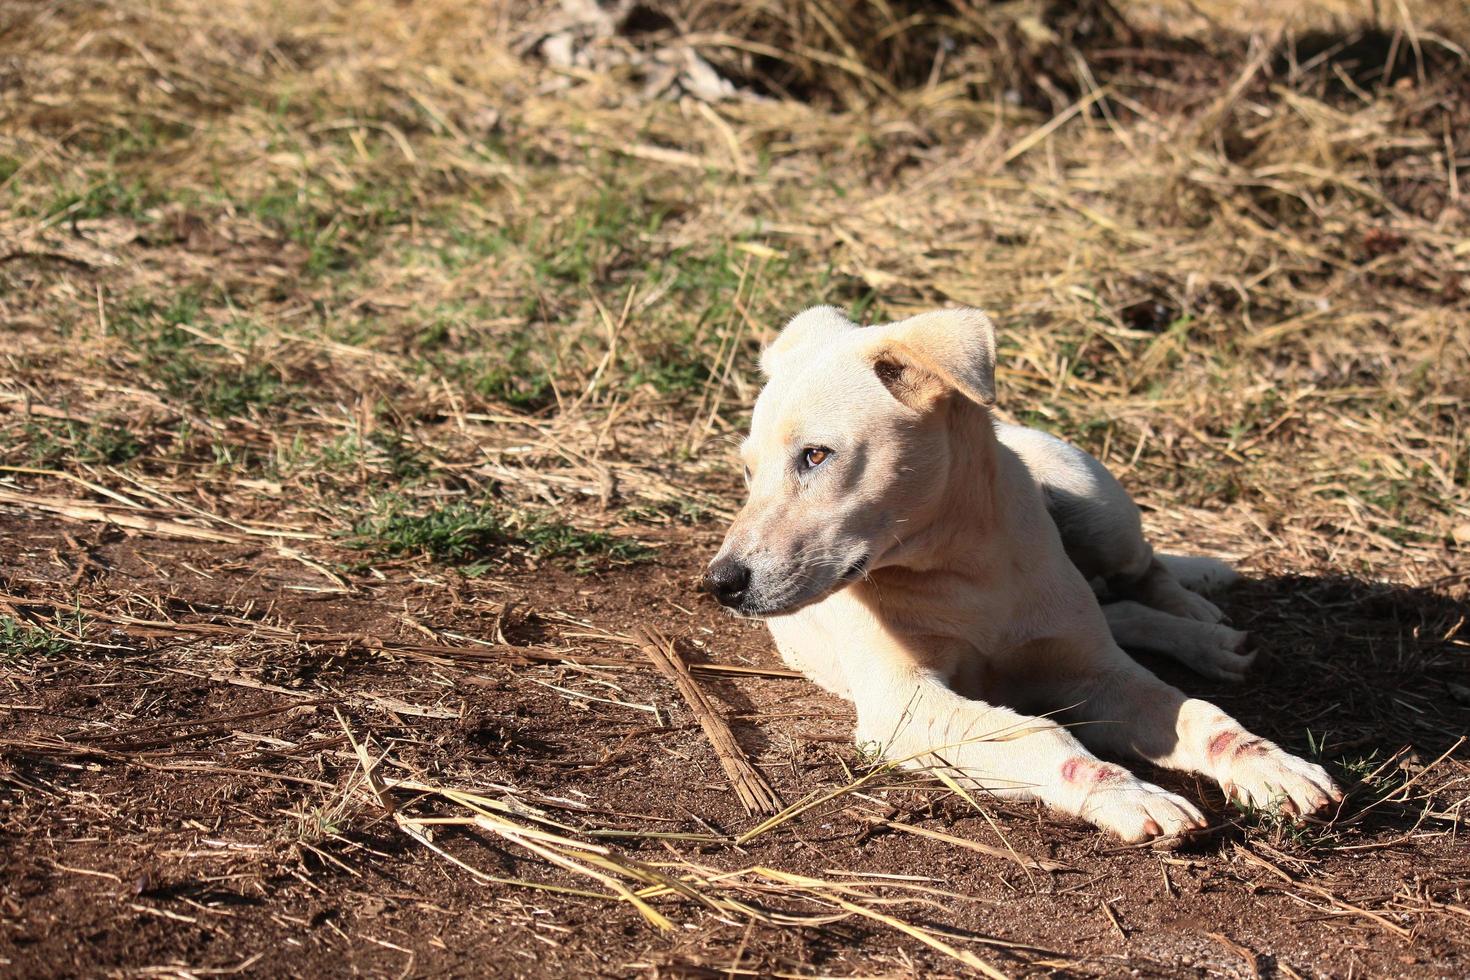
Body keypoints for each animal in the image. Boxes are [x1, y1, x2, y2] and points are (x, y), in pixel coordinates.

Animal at [705, 307, 1340, 846]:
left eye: (816, 456)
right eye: (747, 471)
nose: (719, 583)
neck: (963, 566)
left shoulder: (1096, 672)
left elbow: (1201, 716)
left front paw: (1268, 763)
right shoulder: (902, 705)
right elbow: (1038, 733)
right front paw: (1128, 793)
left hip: (1099, 509)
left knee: (1142, 576)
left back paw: (1201, 624)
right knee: (1118, 609)